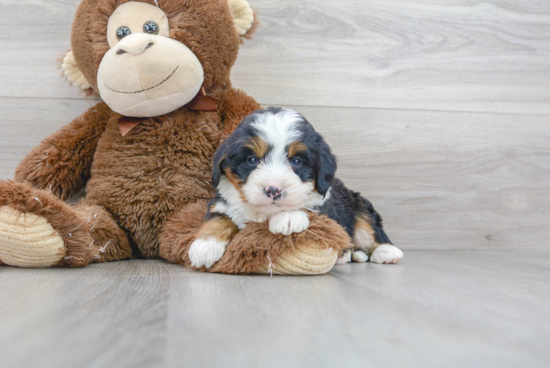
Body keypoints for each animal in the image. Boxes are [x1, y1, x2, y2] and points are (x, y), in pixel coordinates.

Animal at [190, 106, 406, 268]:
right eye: (252, 160)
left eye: (296, 161)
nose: (273, 190)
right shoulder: (222, 201)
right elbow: (218, 218)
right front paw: (204, 246)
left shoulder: (325, 206)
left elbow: (307, 206)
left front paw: (288, 218)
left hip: (360, 205)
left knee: (367, 231)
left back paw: (386, 251)